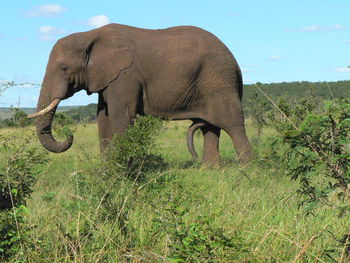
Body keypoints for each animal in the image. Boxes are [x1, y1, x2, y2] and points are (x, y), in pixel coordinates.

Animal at [28, 23, 252, 166]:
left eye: (63, 68)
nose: (69, 135)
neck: (89, 35)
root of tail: (235, 62)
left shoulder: (125, 77)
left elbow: (121, 117)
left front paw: (123, 171)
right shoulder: (109, 79)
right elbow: (103, 119)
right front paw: (108, 172)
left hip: (219, 80)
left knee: (231, 122)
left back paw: (246, 169)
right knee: (210, 126)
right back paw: (210, 169)